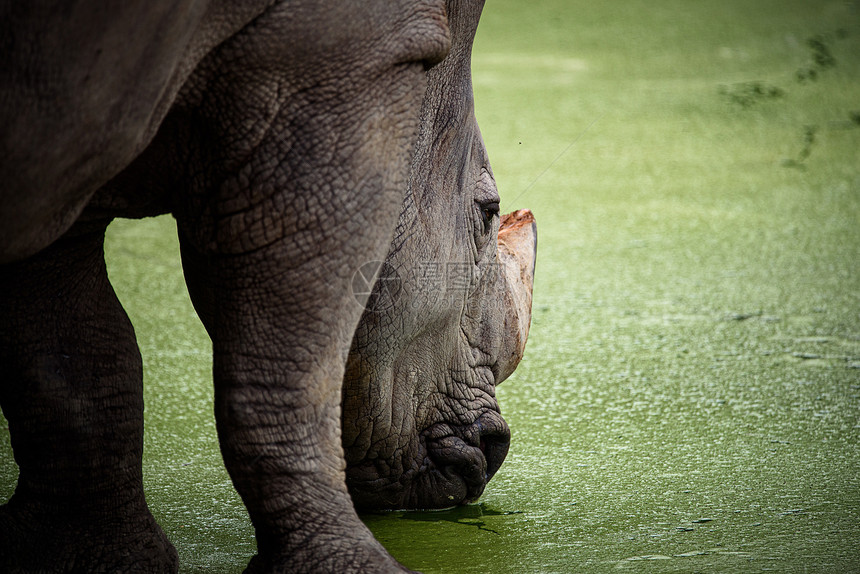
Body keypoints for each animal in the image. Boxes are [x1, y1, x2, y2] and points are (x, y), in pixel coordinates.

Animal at [0, 1, 536, 574]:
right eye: (487, 212)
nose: (495, 452)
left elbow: (70, 357)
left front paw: (90, 559)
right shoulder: (347, 67)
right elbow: (294, 361)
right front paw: (350, 566)